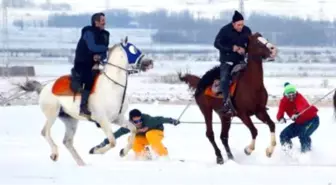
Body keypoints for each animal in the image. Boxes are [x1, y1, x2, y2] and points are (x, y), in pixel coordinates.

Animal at [19, 36, 153, 166]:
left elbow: (133, 129)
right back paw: (55, 154)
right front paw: (95, 150)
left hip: (70, 120)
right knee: (45, 132)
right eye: (133, 50)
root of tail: (44, 87)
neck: (112, 86)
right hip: (52, 114)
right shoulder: (102, 120)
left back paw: (81, 163)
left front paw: (123, 152)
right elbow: (112, 141)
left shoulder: (117, 118)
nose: (150, 62)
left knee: (67, 141)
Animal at [178, 32, 278, 164]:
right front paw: (248, 149)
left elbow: (272, 125)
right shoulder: (243, 114)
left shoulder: (259, 111)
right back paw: (219, 157)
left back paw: (231, 157)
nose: (273, 49)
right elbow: (254, 131)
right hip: (206, 110)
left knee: (223, 136)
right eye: (257, 41)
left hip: (224, 116)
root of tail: (200, 82)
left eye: (265, 38)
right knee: (210, 134)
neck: (251, 84)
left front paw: (269, 151)